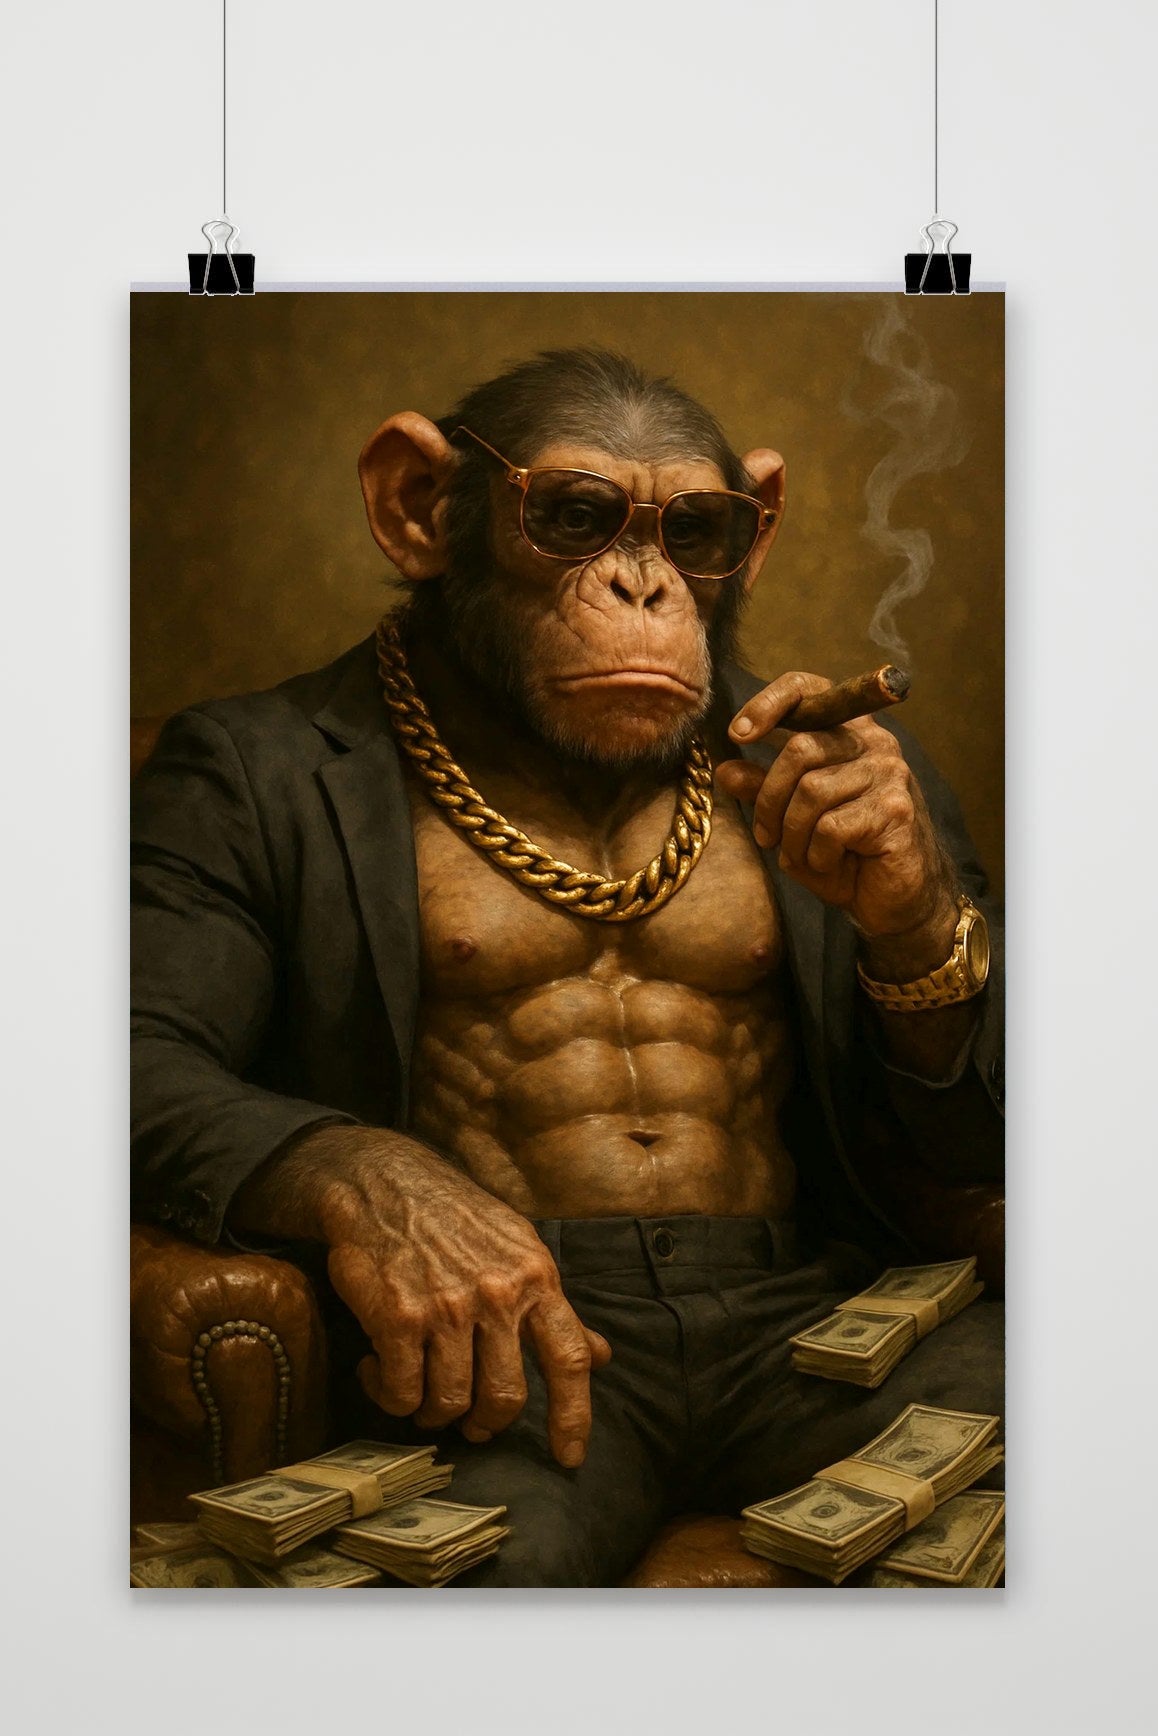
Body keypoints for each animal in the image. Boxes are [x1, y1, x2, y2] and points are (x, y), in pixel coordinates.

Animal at [132, 348, 1004, 1587]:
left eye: (697, 527)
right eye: (577, 517)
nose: (643, 589)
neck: (562, 762)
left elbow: (954, 1123)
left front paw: (871, 824)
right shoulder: (198, 780)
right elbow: (162, 1032)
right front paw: (444, 1242)